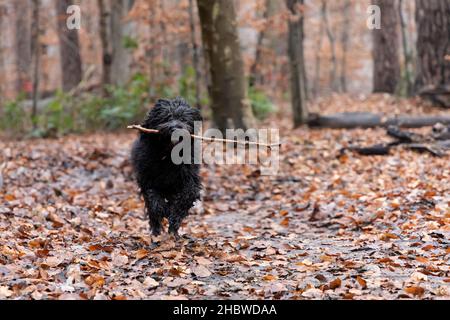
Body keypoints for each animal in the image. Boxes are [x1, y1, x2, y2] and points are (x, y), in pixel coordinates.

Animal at [131, 97, 203, 238]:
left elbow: (186, 197)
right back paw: (156, 232)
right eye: (166, 117)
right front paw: (164, 210)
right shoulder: (147, 179)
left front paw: (174, 218)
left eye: (183, 119)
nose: (175, 128)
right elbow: (153, 197)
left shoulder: (190, 180)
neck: (169, 157)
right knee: (152, 213)